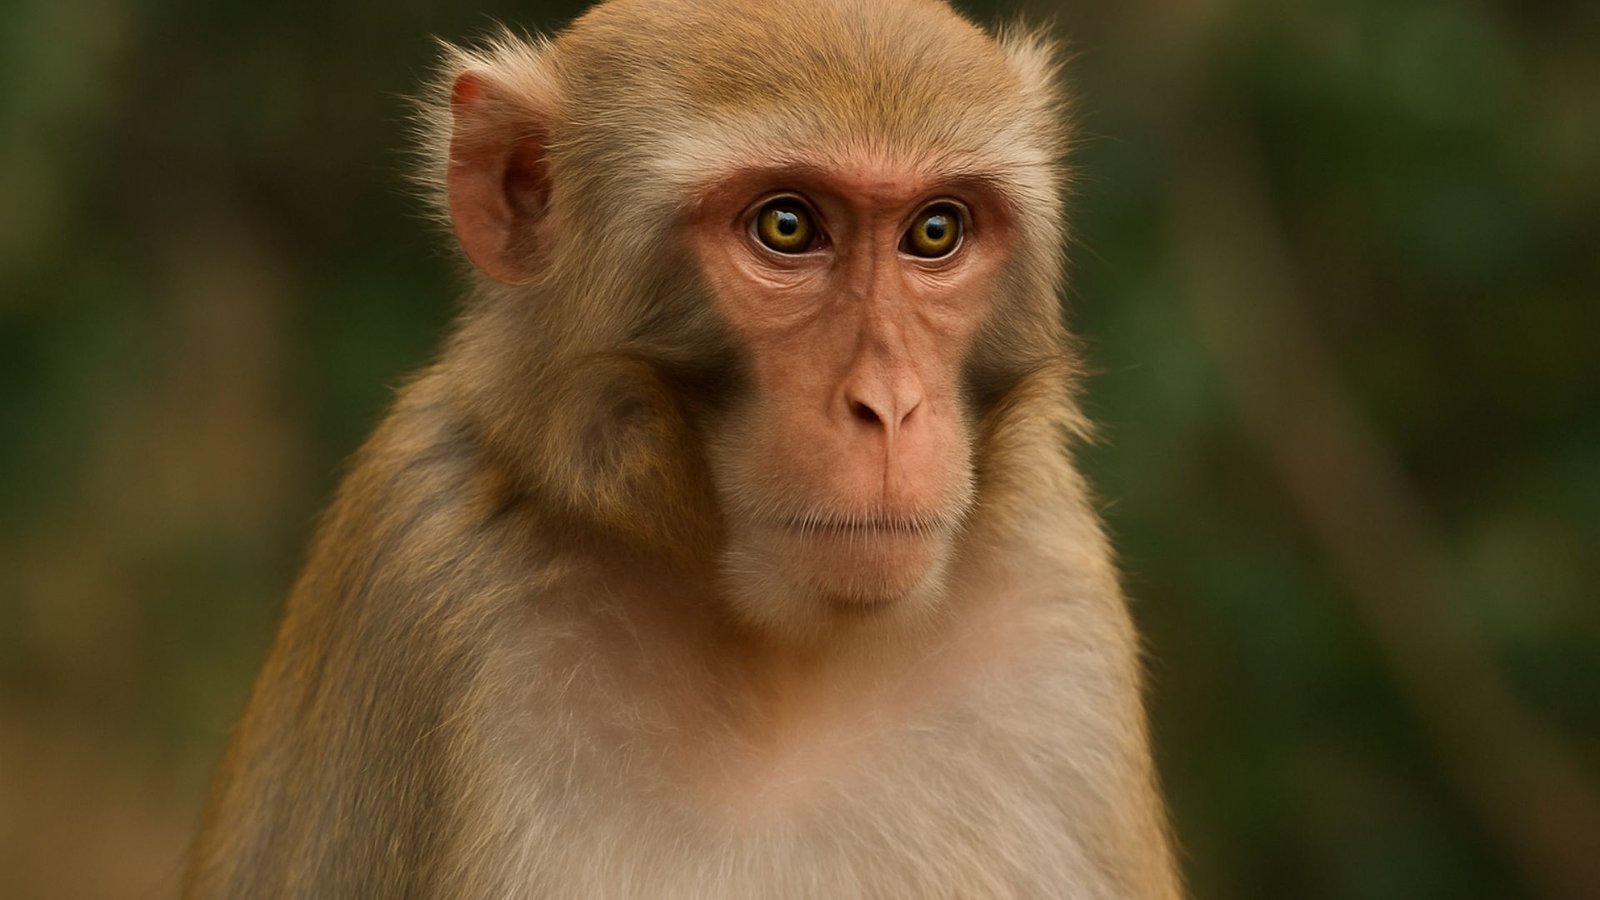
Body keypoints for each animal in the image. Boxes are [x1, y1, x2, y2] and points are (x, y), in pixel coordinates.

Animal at [182, 0, 1182, 897]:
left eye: (936, 231)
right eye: (786, 226)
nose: (890, 407)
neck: (782, 663)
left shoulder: (1053, 595)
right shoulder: (430, 578)